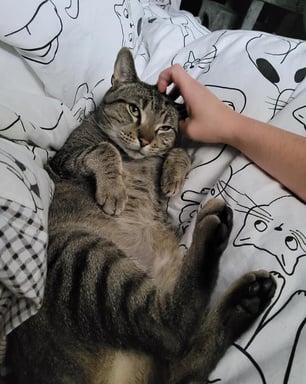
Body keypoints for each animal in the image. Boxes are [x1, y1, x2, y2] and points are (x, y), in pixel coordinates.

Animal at [7, 48, 276, 384]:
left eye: (164, 128)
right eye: (134, 110)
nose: (145, 139)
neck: (134, 159)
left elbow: (179, 152)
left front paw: (172, 173)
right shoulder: (67, 157)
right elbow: (104, 148)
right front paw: (115, 191)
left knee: (180, 358)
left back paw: (247, 297)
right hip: (81, 258)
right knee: (170, 329)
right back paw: (218, 240)